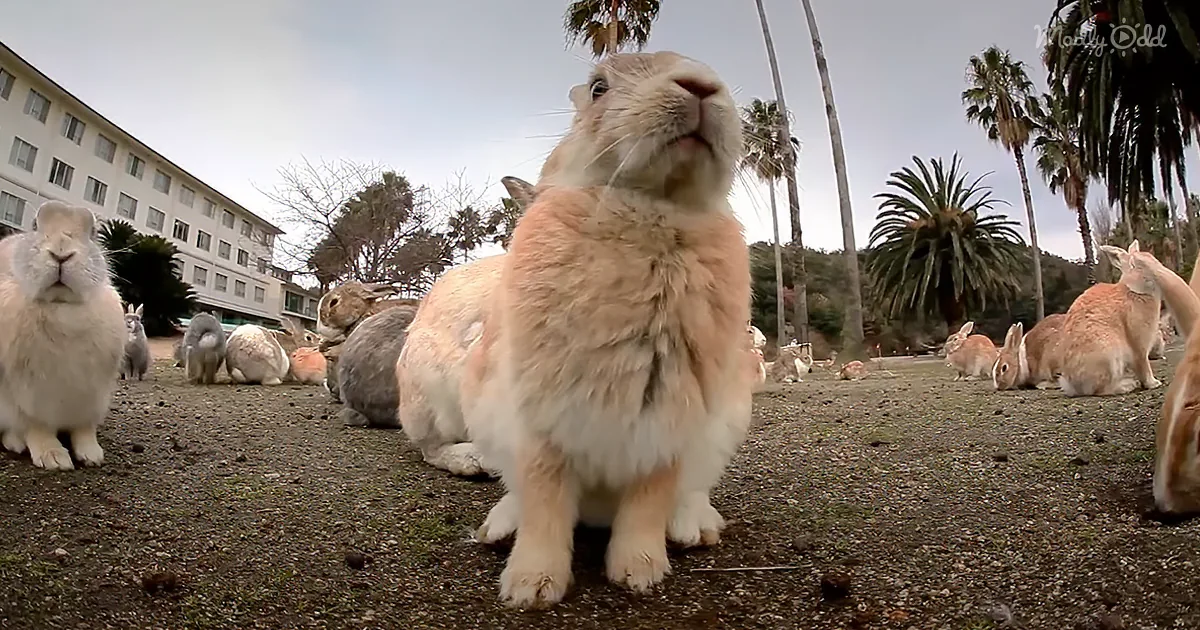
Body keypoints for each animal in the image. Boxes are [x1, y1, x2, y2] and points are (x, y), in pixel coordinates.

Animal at [0, 201, 127, 470]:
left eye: (93, 232)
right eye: (35, 225)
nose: (61, 254)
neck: (61, 306)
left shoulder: (89, 396)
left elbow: (84, 428)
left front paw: (92, 454)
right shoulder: (27, 399)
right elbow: (36, 427)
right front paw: (54, 458)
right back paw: (15, 443)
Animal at [460, 51, 753, 609]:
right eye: (598, 87)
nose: (703, 87)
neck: (654, 206)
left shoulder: (667, 420)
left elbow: (651, 495)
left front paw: (638, 572)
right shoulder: (543, 421)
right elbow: (545, 496)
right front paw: (531, 586)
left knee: (691, 490)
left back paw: (694, 528)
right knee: (518, 489)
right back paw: (499, 527)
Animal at [1058, 240, 1166, 397]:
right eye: (1135, 265)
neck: (1132, 290)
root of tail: (1074, 386)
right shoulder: (1139, 345)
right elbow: (1143, 364)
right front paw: (1153, 384)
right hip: (1109, 356)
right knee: (1101, 390)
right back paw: (1127, 386)